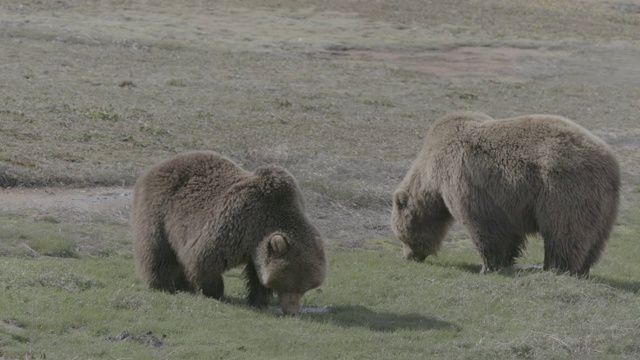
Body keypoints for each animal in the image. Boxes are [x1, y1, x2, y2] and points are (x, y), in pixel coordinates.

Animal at [132, 150, 328, 314]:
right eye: (288, 287)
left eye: (305, 287)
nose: (292, 311)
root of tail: (155, 167)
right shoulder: (236, 223)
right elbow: (204, 258)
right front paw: (216, 291)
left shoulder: (256, 243)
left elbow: (257, 272)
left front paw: (259, 299)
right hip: (159, 213)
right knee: (158, 252)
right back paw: (163, 284)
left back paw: (184, 286)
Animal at [390, 112, 620, 276]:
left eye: (401, 237)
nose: (407, 257)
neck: (432, 176)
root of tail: (610, 162)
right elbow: (508, 233)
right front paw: (506, 260)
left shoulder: (466, 182)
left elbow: (485, 226)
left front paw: (487, 266)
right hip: (604, 205)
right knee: (595, 240)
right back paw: (581, 268)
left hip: (563, 189)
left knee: (564, 230)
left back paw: (555, 267)